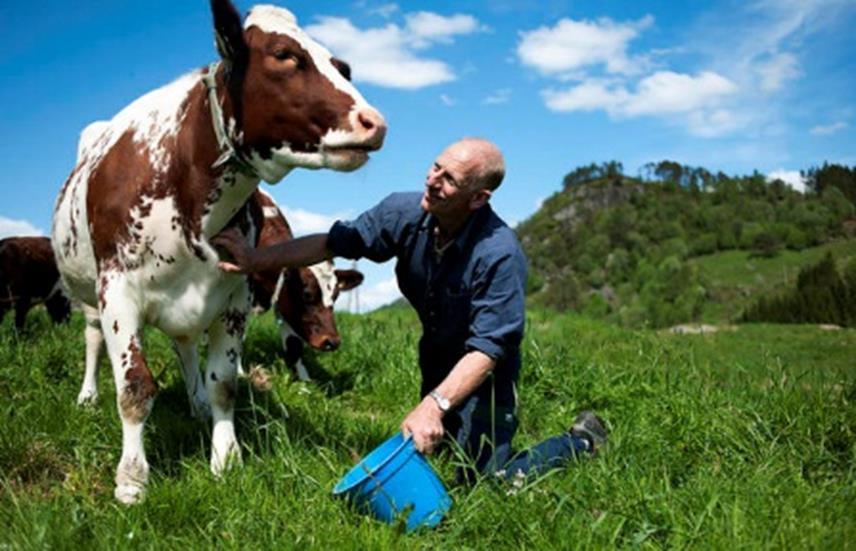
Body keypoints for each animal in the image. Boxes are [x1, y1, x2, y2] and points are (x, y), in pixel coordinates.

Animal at [247, 192, 362, 382]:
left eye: (336, 296)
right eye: (306, 294)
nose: (332, 342)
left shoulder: (283, 302)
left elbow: (294, 345)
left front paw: (305, 382)